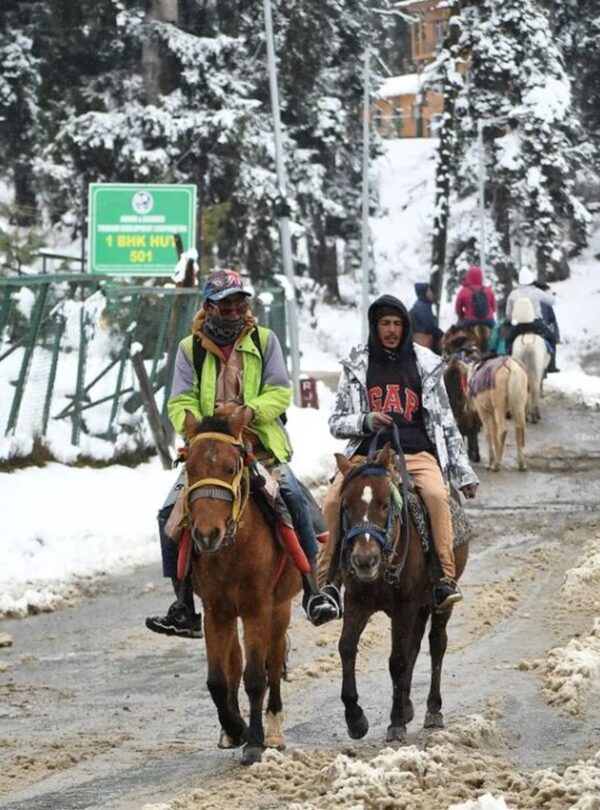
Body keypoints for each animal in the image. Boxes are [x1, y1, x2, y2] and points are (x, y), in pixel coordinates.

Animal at [181, 407, 302, 765]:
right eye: (189, 467)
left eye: (231, 467)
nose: (207, 534)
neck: (231, 549)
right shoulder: (215, 611)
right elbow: (218, 680)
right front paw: (236, 729)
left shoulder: (257, 608)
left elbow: (256, 677)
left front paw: (255, 742)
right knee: (235, 663)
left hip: (280, 608)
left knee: (274, 662)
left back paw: (274, 728)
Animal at [332, 444, 468, 743]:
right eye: (345, 506)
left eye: (384, 505)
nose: (364, 560)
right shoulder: (357, 601)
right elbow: (346, 647)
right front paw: (355, 719)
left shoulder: (404, 606)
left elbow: (398, 660)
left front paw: (395, 724)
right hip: (421, 604)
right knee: (415, 644)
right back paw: (406, 706)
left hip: (438, 602)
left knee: (436, 643)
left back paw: (433, 710)